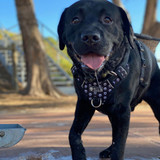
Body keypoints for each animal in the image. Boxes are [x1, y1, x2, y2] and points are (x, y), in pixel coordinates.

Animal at [57, 0, 160, 159]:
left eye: (107, 19)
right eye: (75, 20)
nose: (90, 37)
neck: (98, 79)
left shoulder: (122, 112)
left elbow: (119, 144)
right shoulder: (84, 105)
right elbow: (73, 134)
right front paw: (79, 154)